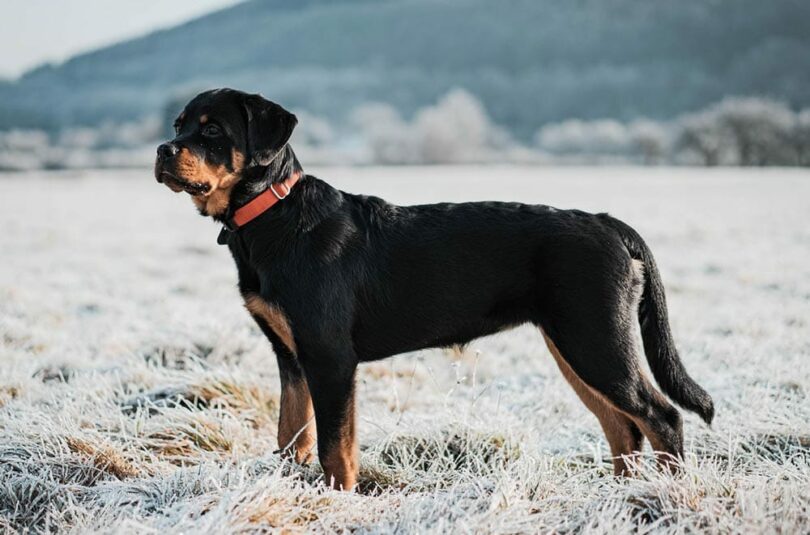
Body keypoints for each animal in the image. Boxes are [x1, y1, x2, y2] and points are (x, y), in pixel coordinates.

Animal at [155, 90, 712, 492]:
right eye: (178, 124)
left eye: (211, 129)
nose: (162, 149)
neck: (273, 215)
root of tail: (607, 222)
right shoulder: (291, 356)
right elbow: (293, 434)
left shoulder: (330, 357)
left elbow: (336, 446)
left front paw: (337, 501)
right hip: (576, 346)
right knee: (624, 427)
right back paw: (622, 497)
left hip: (596, 340)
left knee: (661, 417)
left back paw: (669, 495)